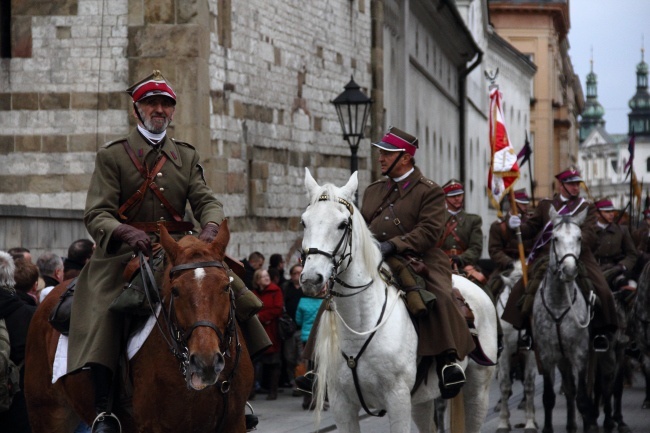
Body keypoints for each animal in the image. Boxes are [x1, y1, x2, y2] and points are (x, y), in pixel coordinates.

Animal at [298, 170, 496, 432]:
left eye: (342, 224)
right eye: (304, 222)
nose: (311, 278)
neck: (360, 323)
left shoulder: (398, 398)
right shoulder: (342, 403)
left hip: (478, 389)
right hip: (423, 398)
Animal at [532, 207, 592, 432]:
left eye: (579, 237)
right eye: (554, 238)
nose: (569, 270)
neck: (559, 302)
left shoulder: (580, 354)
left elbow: (583, 398)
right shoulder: (547, 356)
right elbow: (548, 397)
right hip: (562, 360)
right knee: (568, 387)